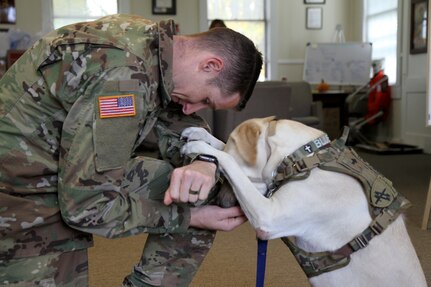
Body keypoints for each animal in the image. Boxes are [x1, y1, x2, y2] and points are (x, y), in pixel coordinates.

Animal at [181, 117, 426, 287]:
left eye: (222, 177)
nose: (219, 203)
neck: (304, 157)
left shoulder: (268, 216)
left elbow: (229, 160)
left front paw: (201, 147)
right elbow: (222, 144)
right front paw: (200, 134)